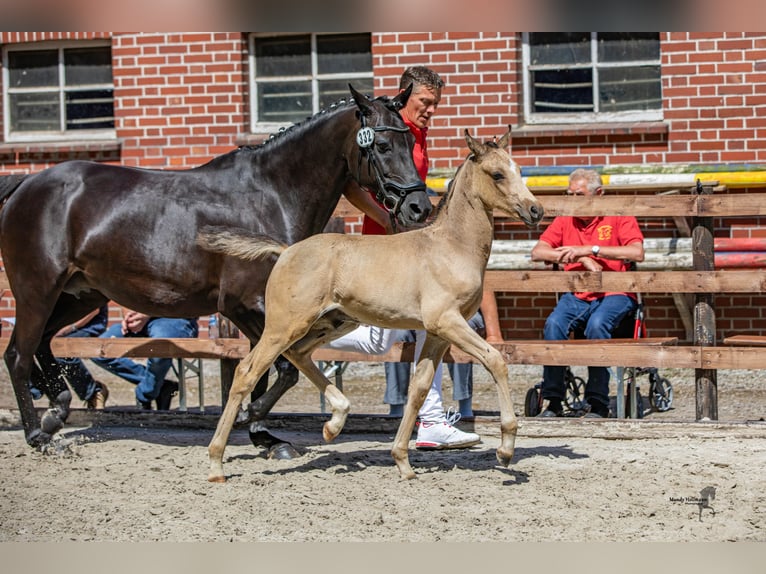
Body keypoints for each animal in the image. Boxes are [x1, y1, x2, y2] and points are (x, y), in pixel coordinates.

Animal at [0, 83, 432, 450]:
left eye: (410, 139)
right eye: (381, 144)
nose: (418, 208)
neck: (272, 196)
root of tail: (27, 184)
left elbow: (265, 372)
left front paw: (264, 438)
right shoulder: (246, 306)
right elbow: (280, 369)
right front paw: (248, 419)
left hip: (80, 295)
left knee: (41, 344)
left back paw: (56, 411)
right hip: (37, 290)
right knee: (18, 354)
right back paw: (38, 434)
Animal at [201, 128, 544, 484]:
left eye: (519, 169)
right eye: (497, 174)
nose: (536, 211)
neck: (451, 247)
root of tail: (285, 250)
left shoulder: (437, 333)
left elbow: (419, 388)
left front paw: (403, 461)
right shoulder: (447, 321)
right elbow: (496, 360)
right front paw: (505, 449)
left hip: (334, 322)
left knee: (298, 354)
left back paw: (333, 423)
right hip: (284, 325)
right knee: (246, 371)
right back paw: (216, 462)